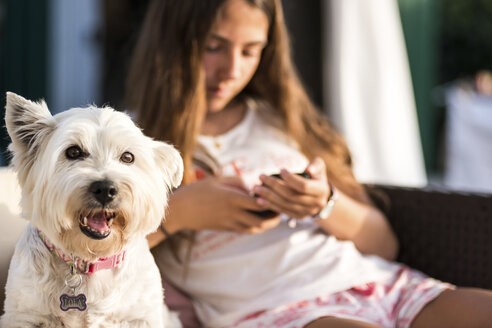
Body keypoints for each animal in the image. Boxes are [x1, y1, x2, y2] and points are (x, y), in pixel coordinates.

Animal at [0, 93, 184, 328]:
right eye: (73, 152)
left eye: (128, 157)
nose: (106, 189)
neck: (88, 260)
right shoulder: (25, 315)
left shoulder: (140, 316)